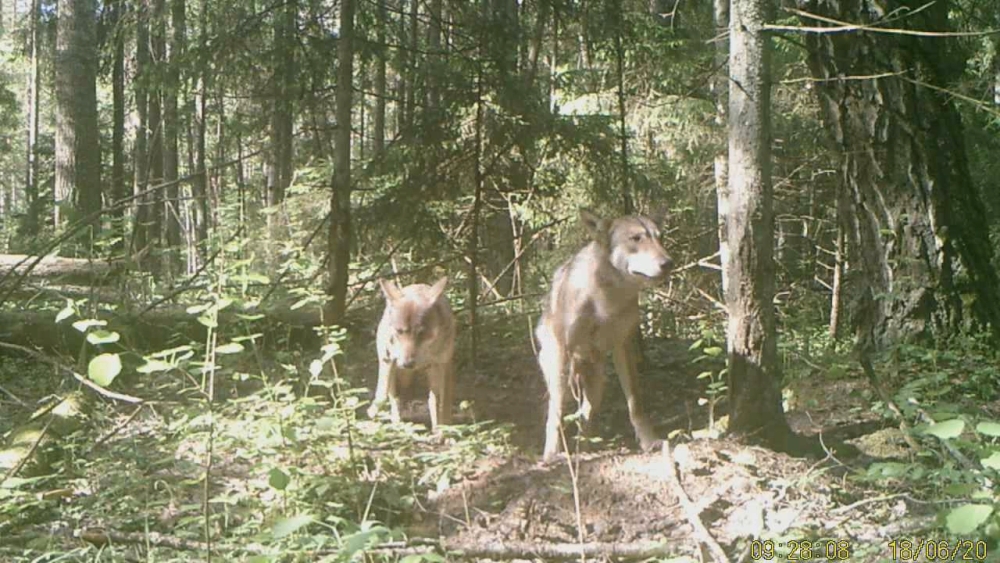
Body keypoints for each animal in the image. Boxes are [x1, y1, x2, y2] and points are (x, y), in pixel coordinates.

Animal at [372, 278, 458, 432]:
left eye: (421, 333)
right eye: (399, 331)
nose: (407, 363)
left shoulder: (440, 365)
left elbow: (440, 404)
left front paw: (442, 431)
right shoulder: (387, 359)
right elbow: (382, 394)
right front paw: (373, 412)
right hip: (398, 370)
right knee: (395, 395)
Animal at [540, 209, 672, 460]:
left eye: (660, 238)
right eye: (636, 238)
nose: (669, 263)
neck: (606, 297)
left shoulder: (624, 345)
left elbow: (635, 403)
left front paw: (648, 441)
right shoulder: (564, 348)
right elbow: (556, 412)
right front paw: (551, 454)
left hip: (598, 382)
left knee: (587, 414)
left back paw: (586, 446)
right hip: (560, 372)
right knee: (560, 405)